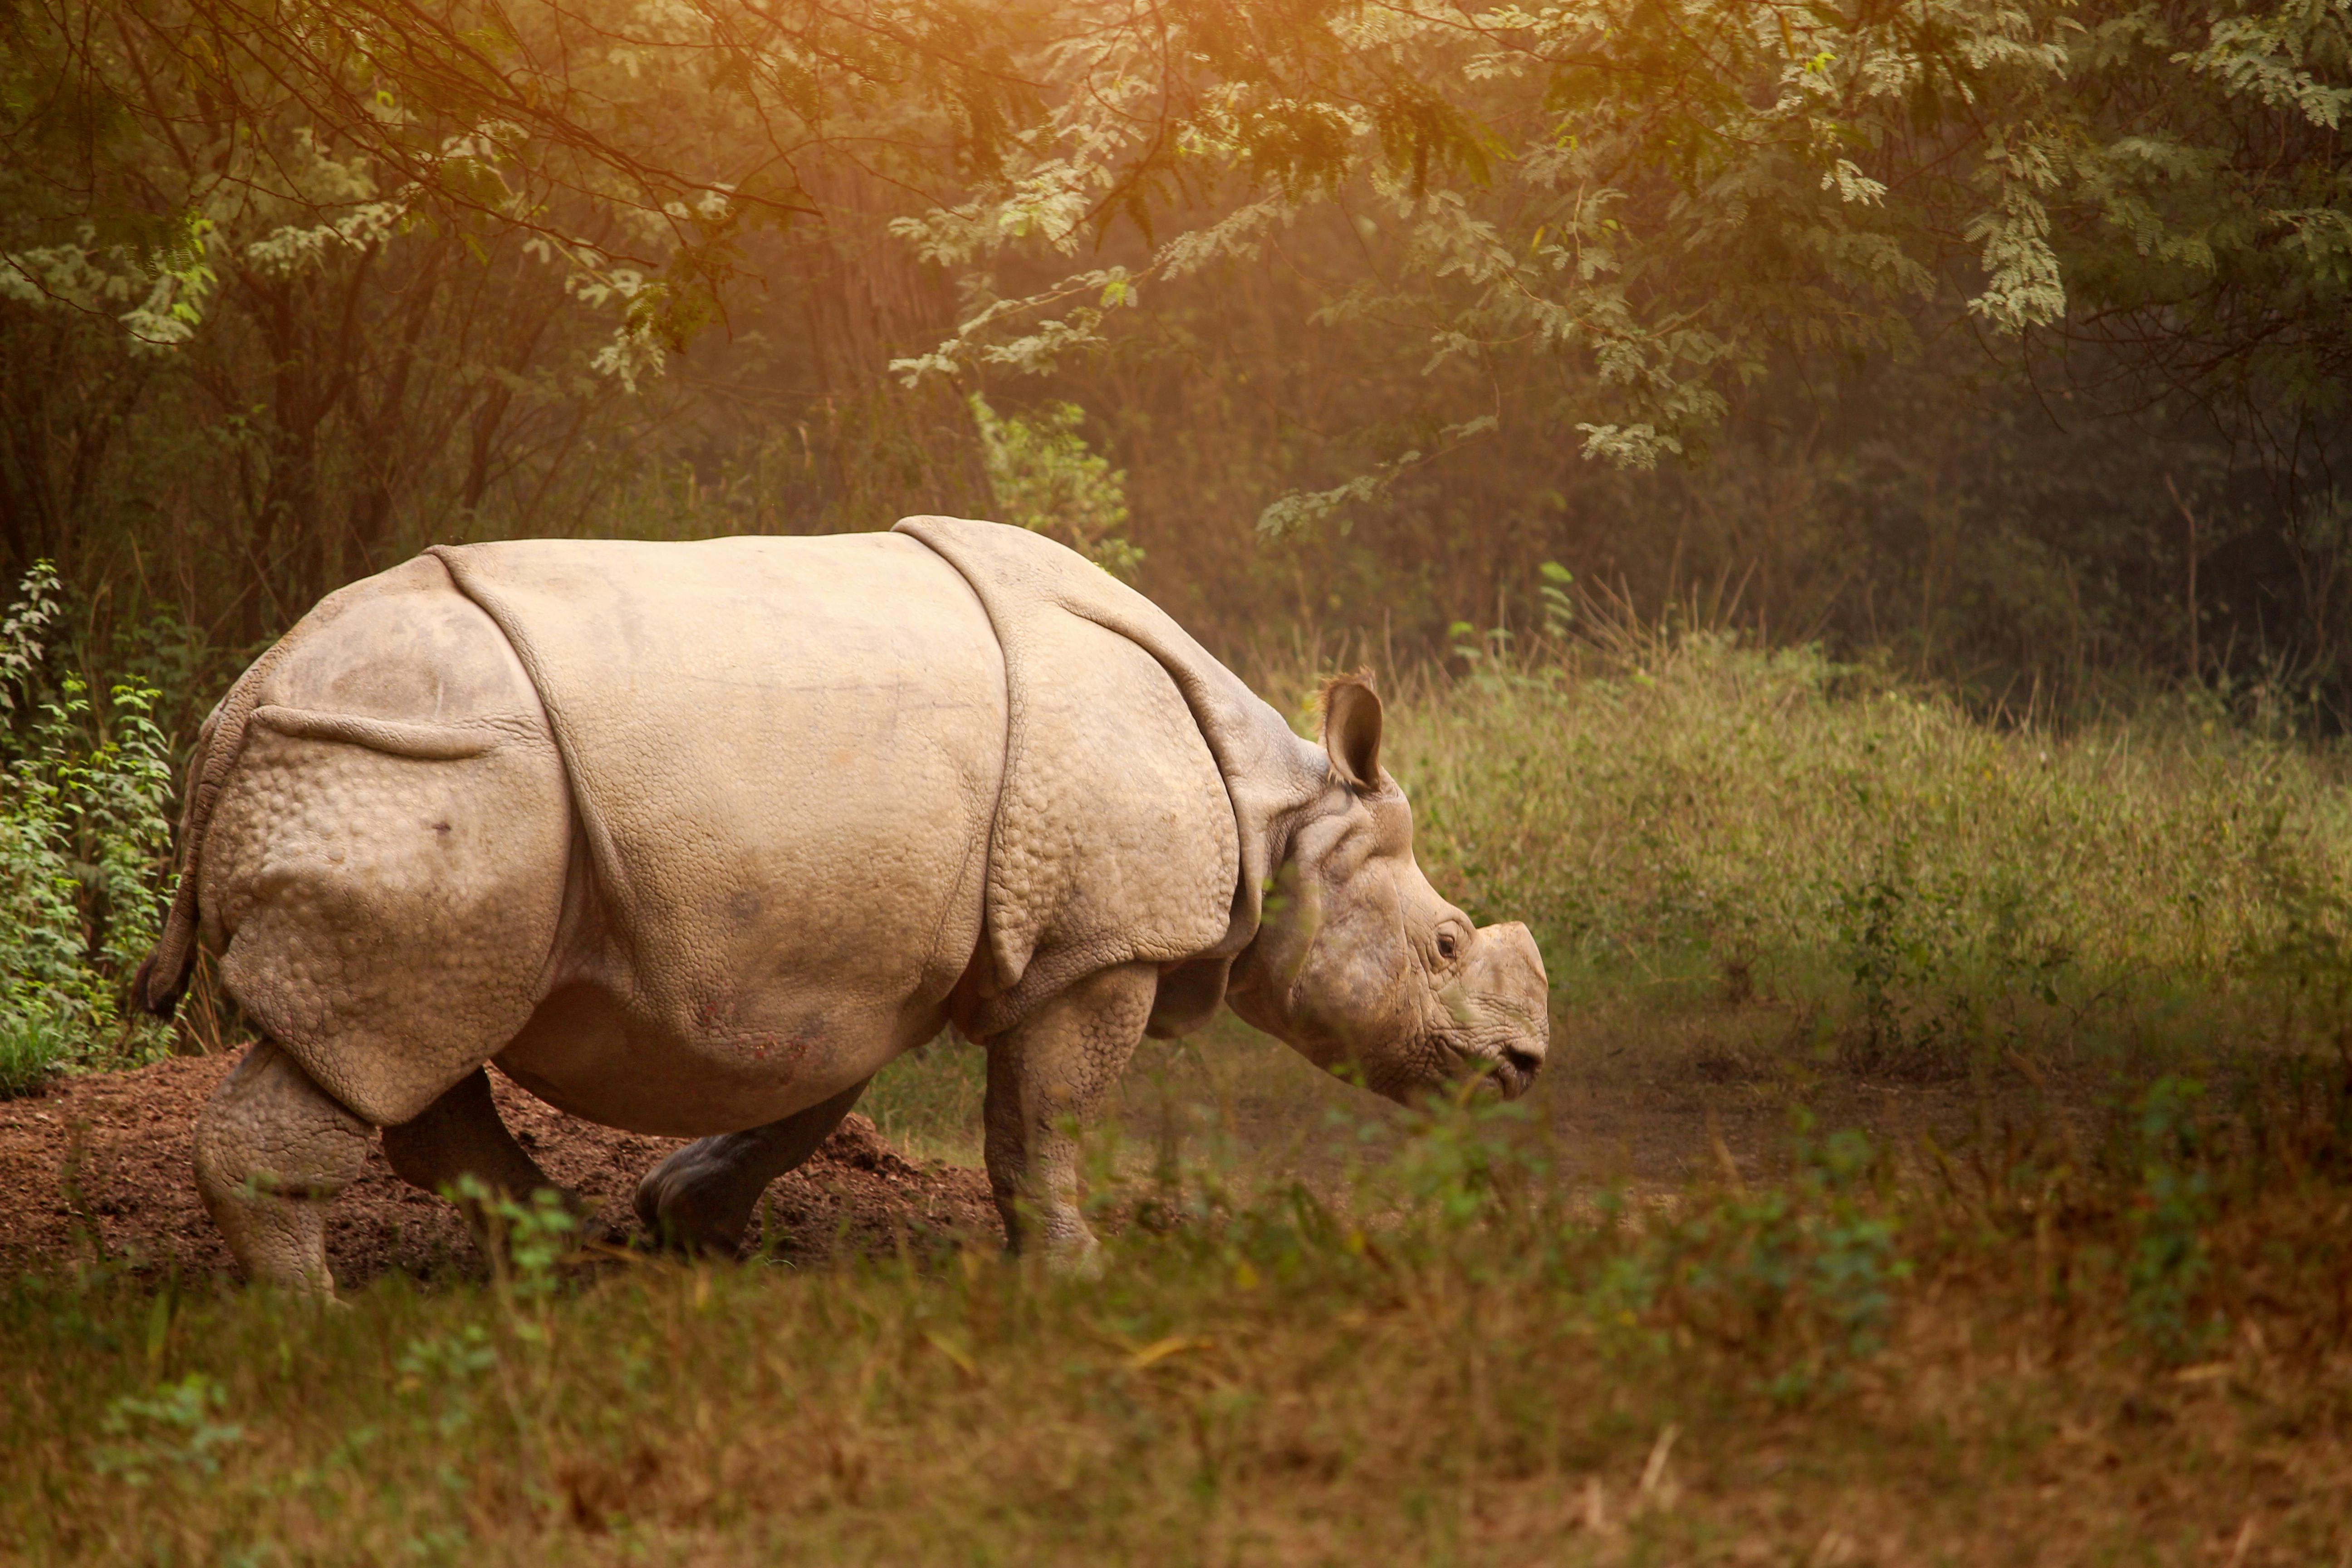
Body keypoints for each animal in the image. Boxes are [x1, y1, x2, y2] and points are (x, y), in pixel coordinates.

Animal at [135, 517, 1549, 1293]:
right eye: (1445, 944)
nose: (1524, 1068)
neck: (1279, 808)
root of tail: (240, 703)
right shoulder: (1095, 947)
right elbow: (1048, 1115)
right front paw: (1078, 1275)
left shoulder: (842, 954)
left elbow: (804, 1097)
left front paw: (687, 1223)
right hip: (416, 768)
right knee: (386, 1032)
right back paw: (317, 1328)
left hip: (418, 782)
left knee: (420, 1031)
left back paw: (570, 1252)